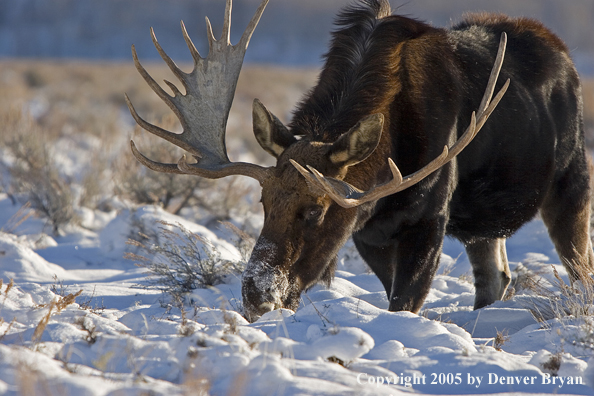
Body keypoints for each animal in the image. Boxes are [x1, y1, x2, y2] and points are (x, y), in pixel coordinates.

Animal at [126, 0, 592, 322]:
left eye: (315, 210)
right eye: (262, 203)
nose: (257, 295)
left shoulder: (429, 218)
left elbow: (404, 303)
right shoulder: (367, 230)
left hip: (572, 180)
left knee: (579, 268)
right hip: (484, 228)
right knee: (495, 278)